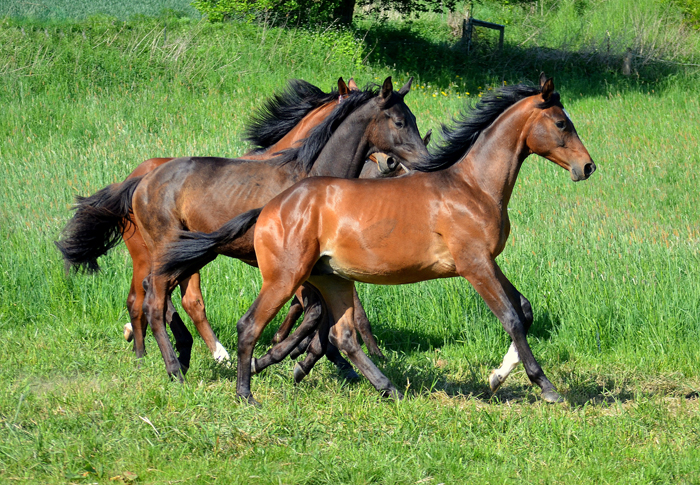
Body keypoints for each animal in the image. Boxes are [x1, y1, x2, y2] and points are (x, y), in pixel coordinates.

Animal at [57, 75, 430, 380]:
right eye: (400, 121)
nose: (418, 161)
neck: (309, 175)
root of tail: (140, 180)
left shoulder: (318, 268)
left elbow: (326, 315)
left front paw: (308, 359)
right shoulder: (296, 270)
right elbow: (316, 315)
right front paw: (282, 358)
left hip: (193, 254)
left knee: (162, 298)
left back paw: (177, 352)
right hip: (161, 251)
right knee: (153, 300)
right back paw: (175, 365)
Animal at [160, 73, 596, 402]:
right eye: (562, 123)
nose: (588, 167)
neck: (473, 187)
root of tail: (270, 207)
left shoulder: (488, 261)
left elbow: (525, 309)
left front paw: (497, 375)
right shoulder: (474, 264)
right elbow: (511, 317)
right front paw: (545, 386)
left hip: (330, 279)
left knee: (342, 334)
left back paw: (388, 388)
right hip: (286, 278)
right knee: (248, 324)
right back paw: (243, 391)